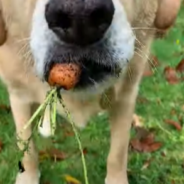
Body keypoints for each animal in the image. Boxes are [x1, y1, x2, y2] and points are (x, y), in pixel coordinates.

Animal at [0, 0, 181, 183]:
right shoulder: (19, 96)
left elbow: (118, 153)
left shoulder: (126, 97)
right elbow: (27, 149)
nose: (80, 15)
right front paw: (27, 177)